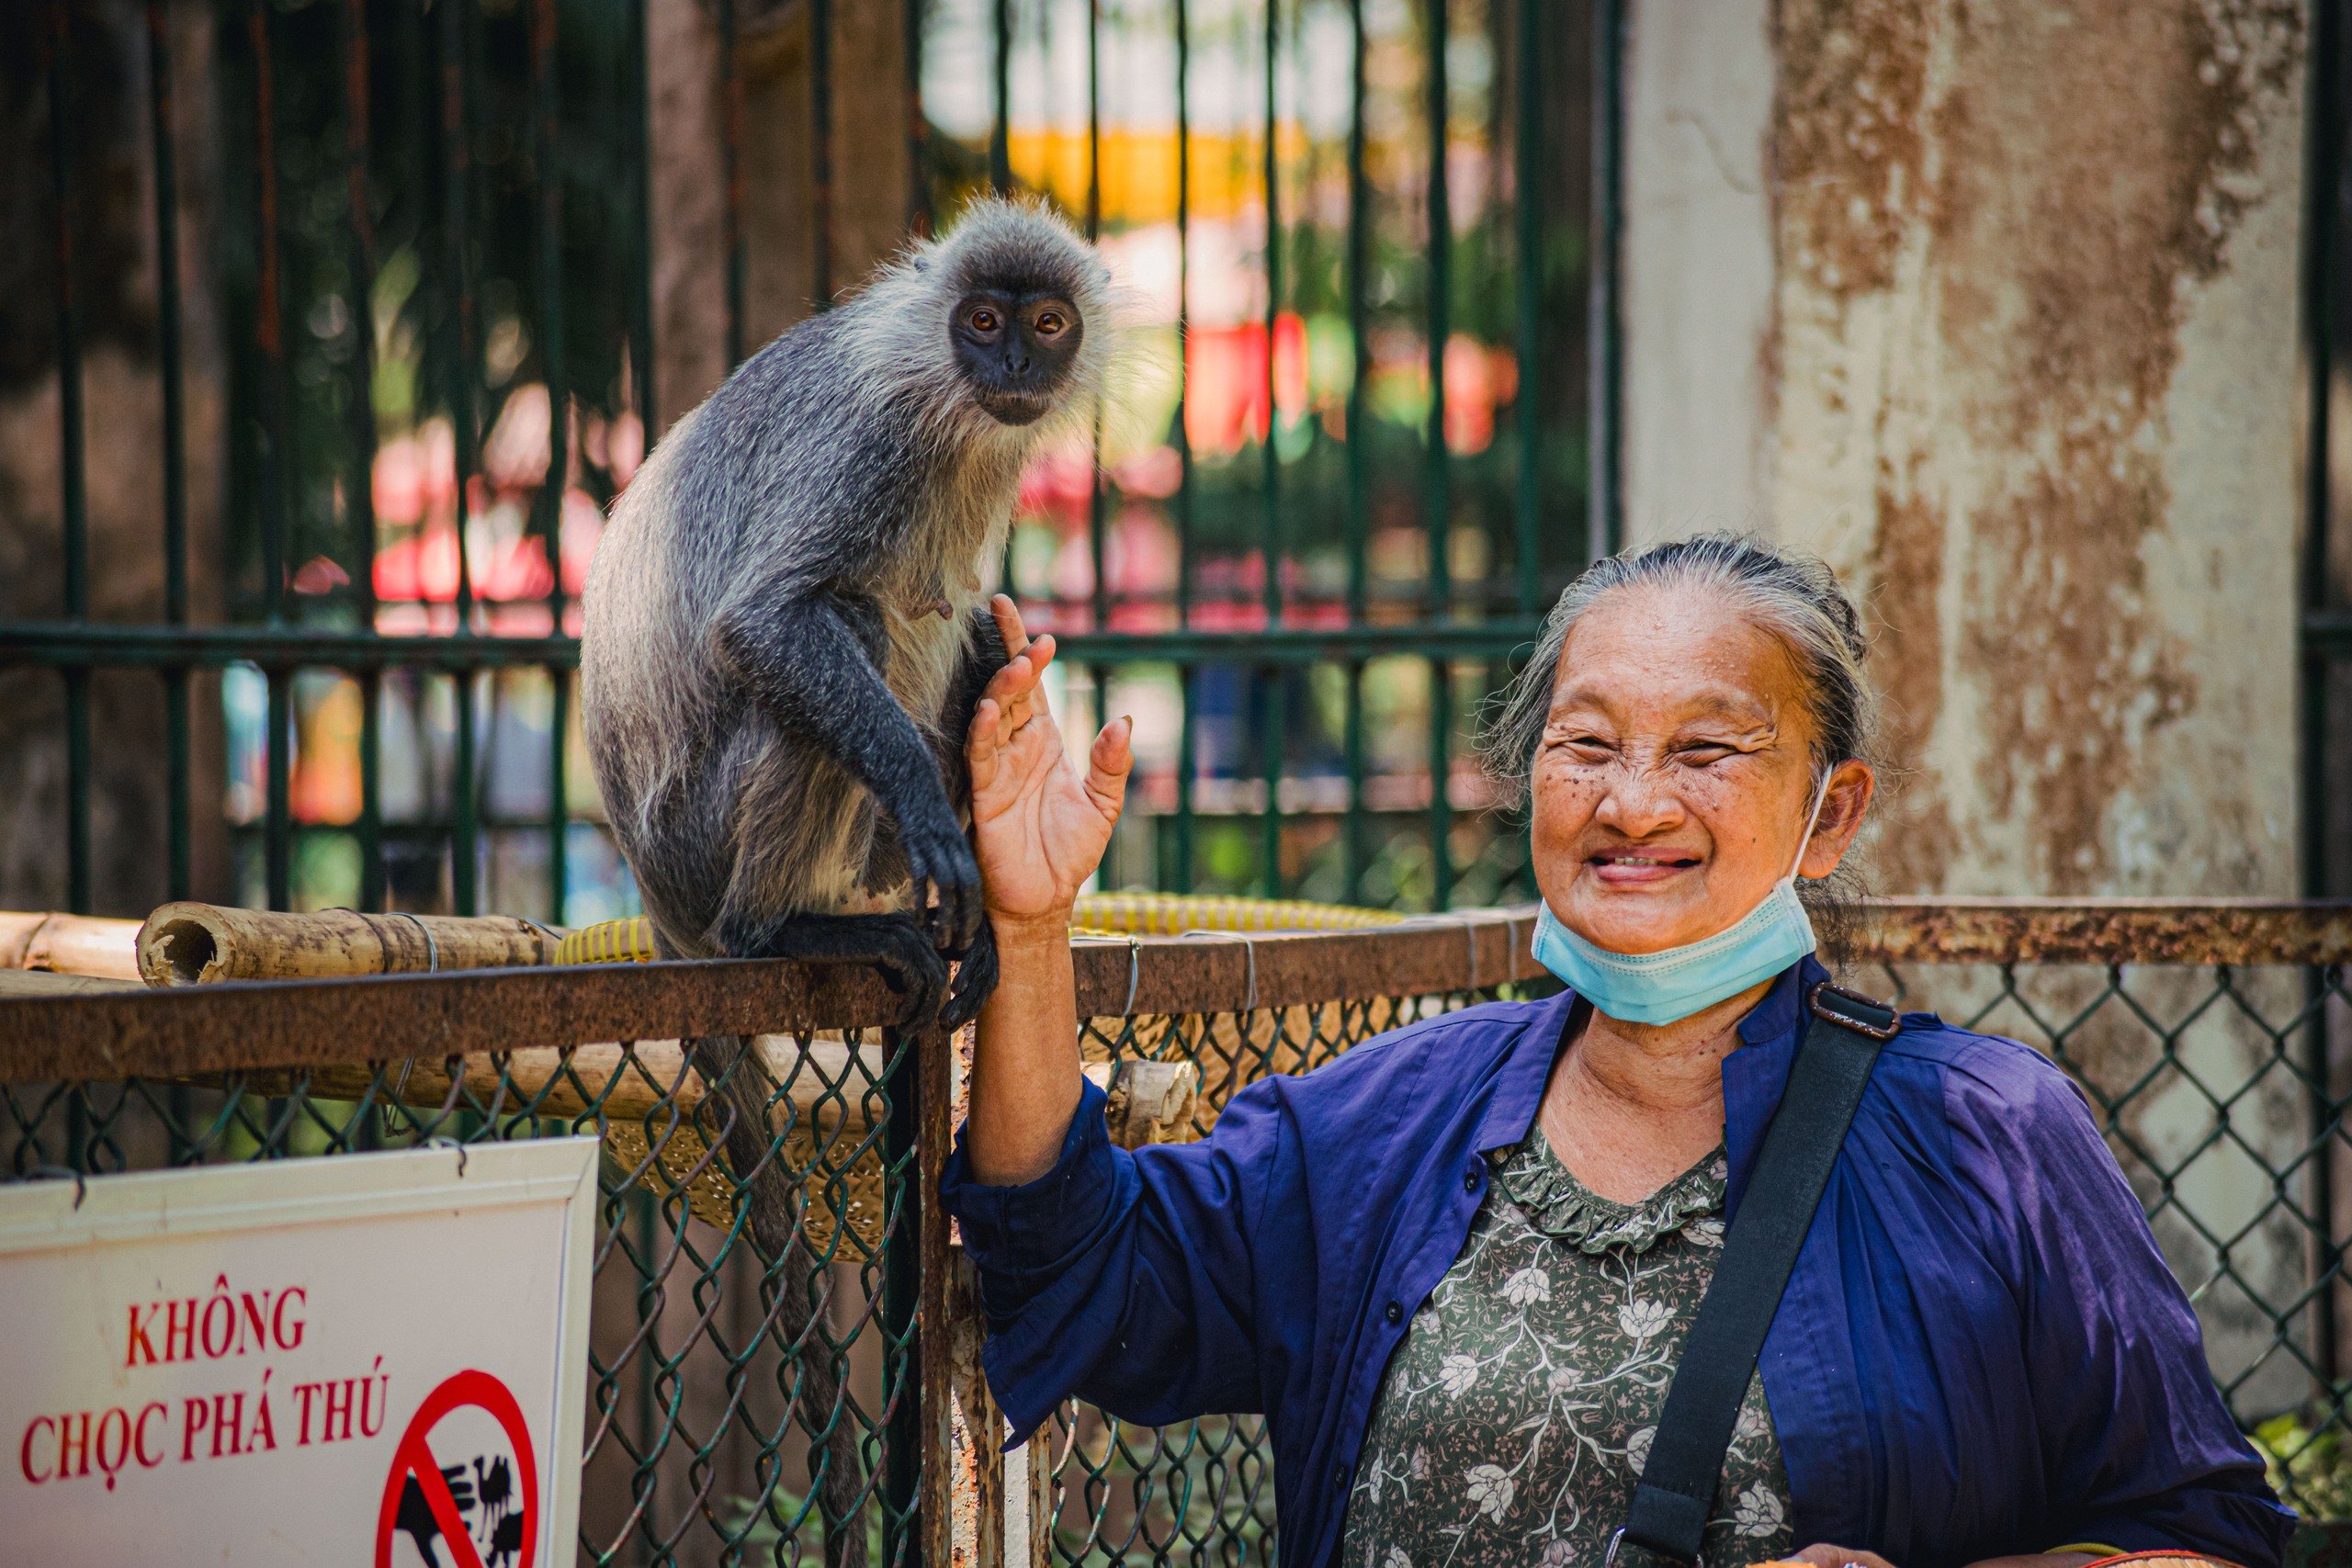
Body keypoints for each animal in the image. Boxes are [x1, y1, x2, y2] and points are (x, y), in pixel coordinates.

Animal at [576, 196, 1110, 1561]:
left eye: (1044, 322)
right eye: (982, 321)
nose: (1014, 364)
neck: (954, 408)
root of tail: (656, 898)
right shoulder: (872, 438)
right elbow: (763, 621)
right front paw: (935, 814)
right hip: (699, 832)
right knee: (852, 622)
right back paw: (784, 930)